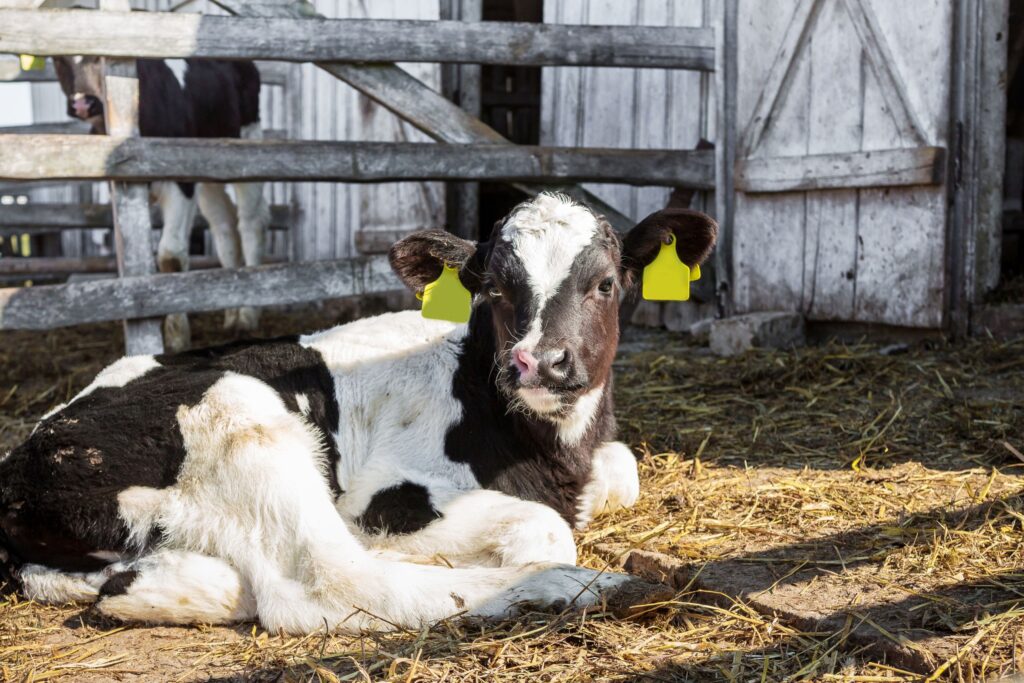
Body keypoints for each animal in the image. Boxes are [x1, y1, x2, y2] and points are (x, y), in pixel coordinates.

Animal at [0, 193, 720, 634]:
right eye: (492, 287)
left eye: (605, 283)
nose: (539, 362)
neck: (548, 453)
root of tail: (22, 463)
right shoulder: (386, 498)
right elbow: (543, 527)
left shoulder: (602, 457)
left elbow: (623, 470)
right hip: (245, 421)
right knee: (330, 583)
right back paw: (597, 586)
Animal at [53, 54, 270, 352]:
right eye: (59, 59)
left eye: (98, 58)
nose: (82, 103)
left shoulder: (180, 181)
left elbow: (171, 256)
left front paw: (177, 338)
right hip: (209, 168)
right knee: (224, 227)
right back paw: (231, 313)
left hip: (248, 145)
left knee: (249, 224)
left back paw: (248, 314)